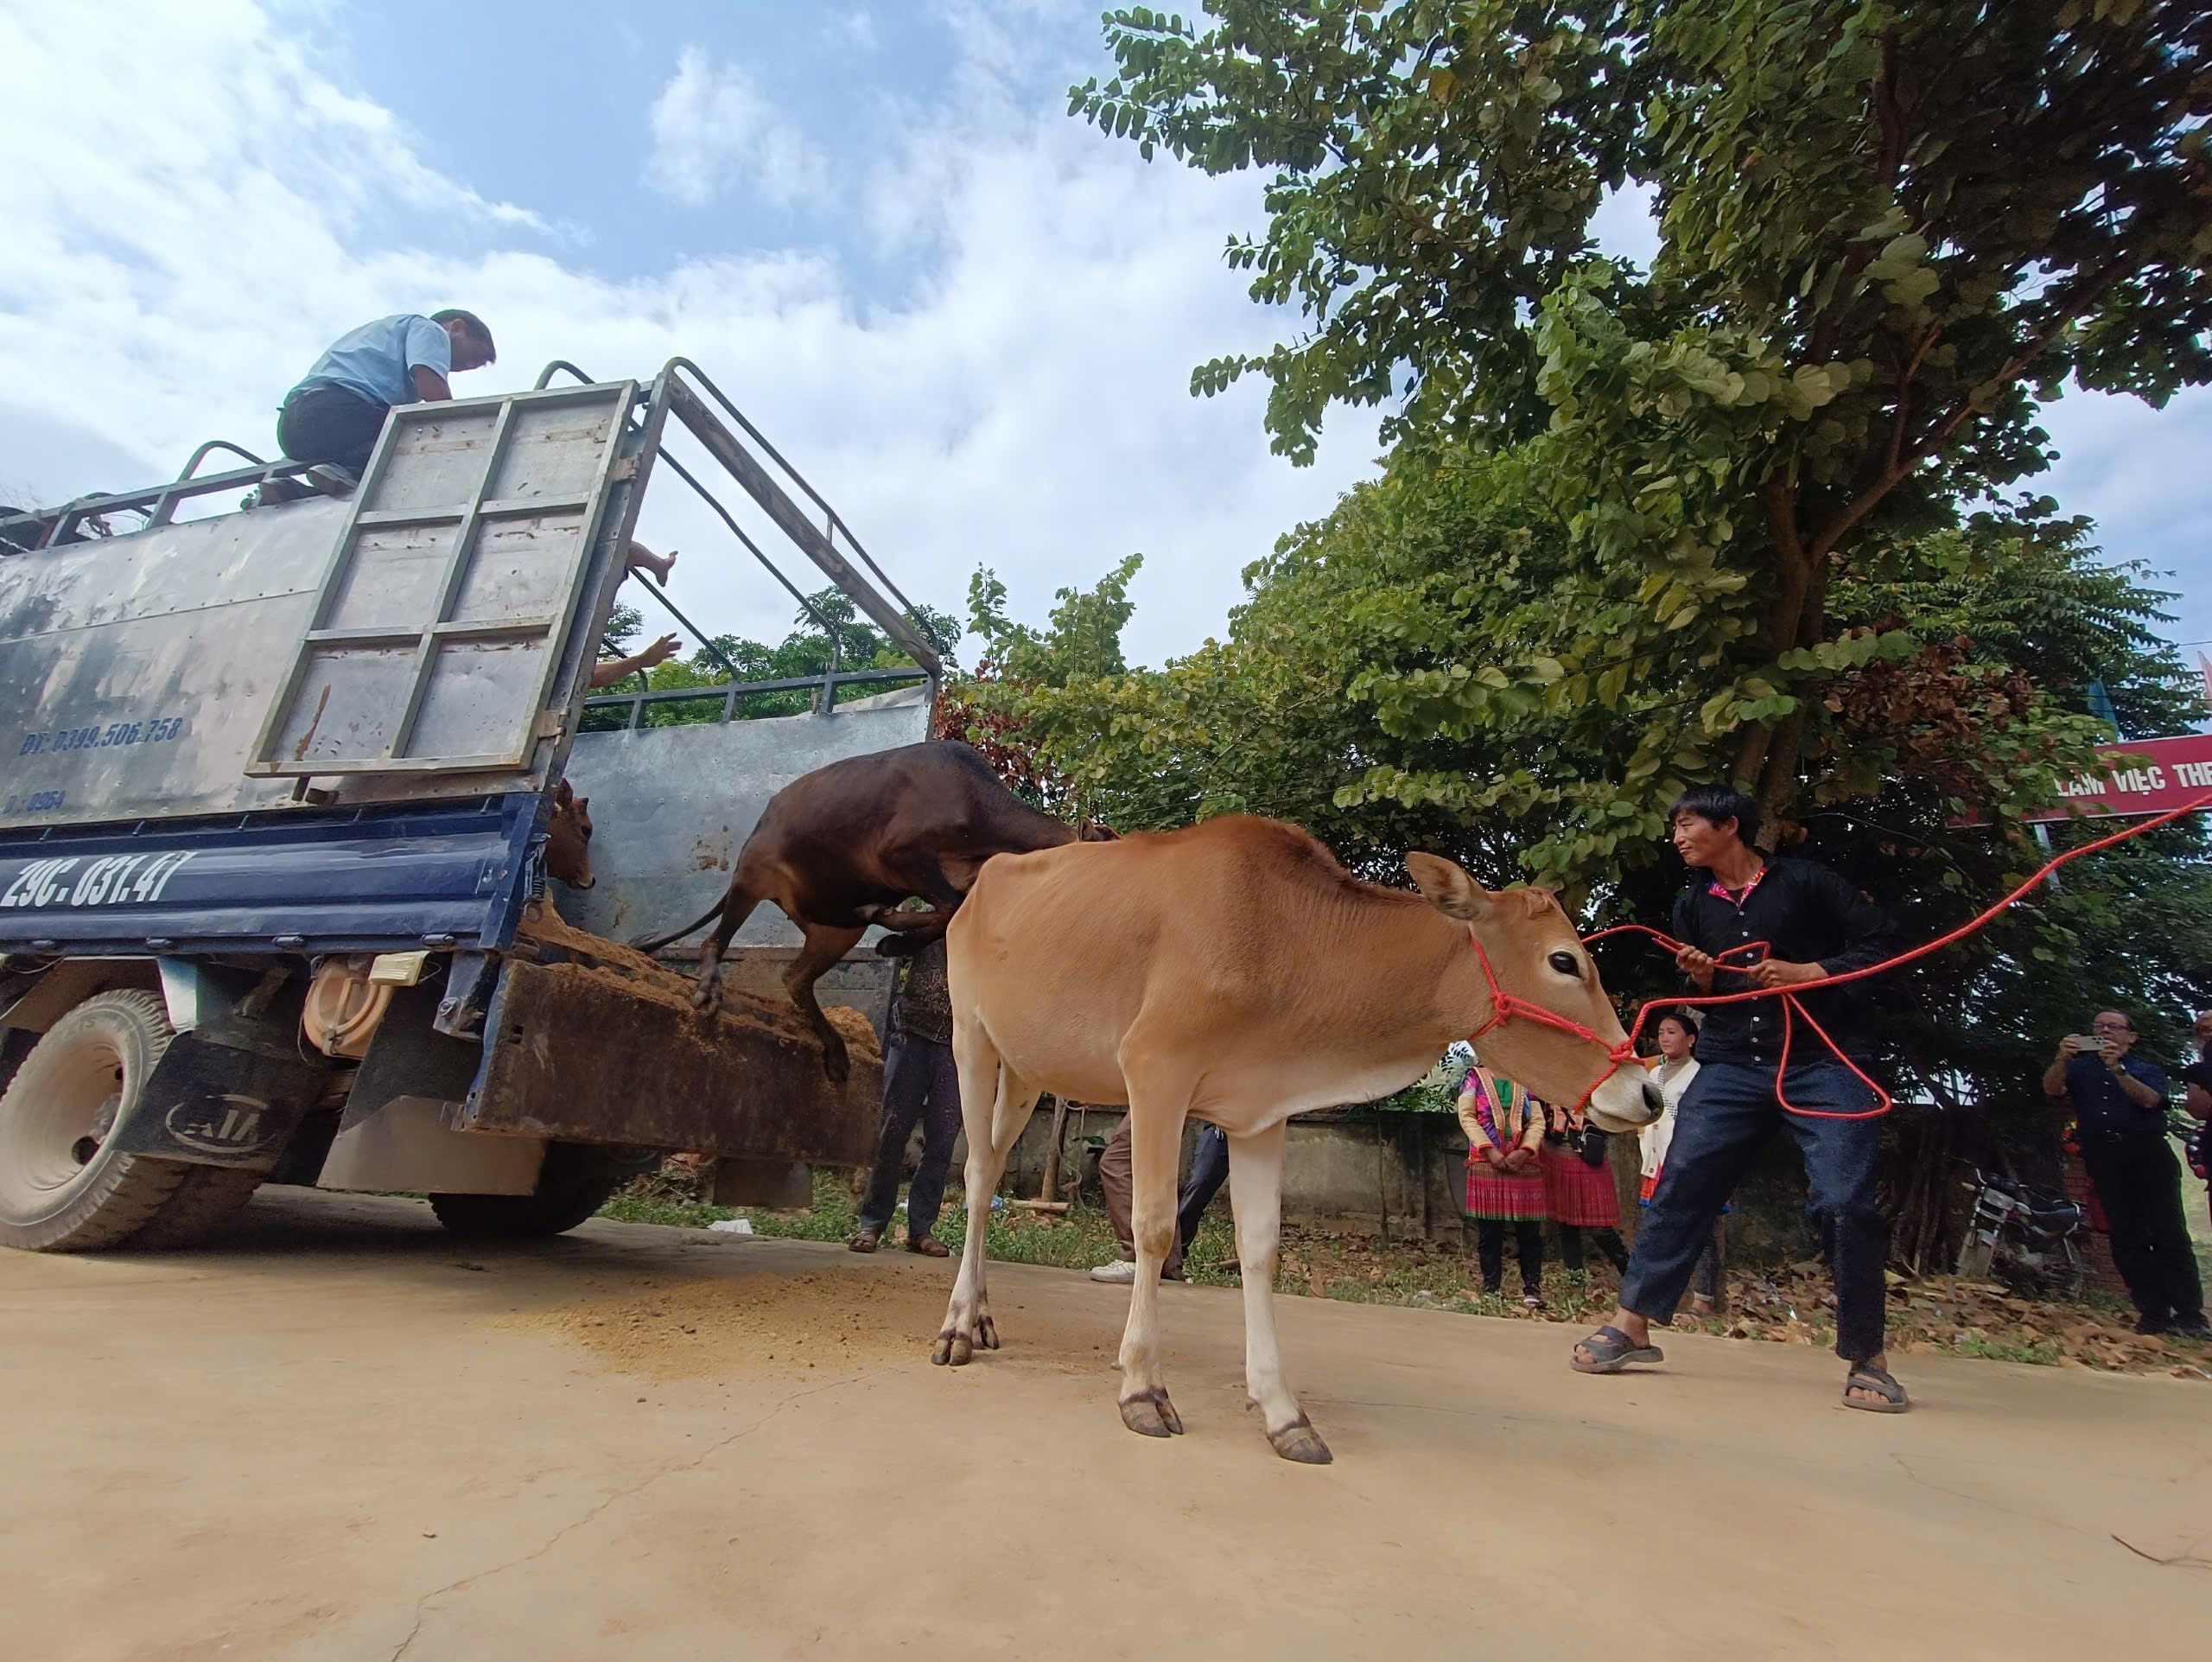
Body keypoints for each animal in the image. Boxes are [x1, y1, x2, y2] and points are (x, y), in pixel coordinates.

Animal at [925, 818, 1663, 1469]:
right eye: (1563, 960)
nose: (1648, 1093)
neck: (1282, 936)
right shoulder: (1156, 1068)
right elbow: (1155, 1227)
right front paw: (1142, 1387)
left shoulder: (1260, 1114)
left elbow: (1260, 1248)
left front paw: (1284, 1412)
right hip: (971, 1040)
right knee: (979, 1176)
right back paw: (957, 1324)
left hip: (1027, 1070)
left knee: (993, 1169)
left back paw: (981, 1312)